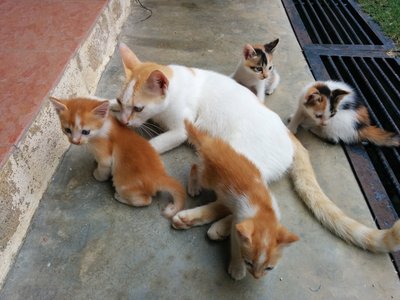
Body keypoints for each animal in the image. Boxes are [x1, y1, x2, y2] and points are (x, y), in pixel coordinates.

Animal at [50, 97, 186, 217]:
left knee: (145, 200)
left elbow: (103, 167)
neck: (103, 126)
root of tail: (159, 176)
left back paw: (120, 197)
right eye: (67, 130)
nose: (75, 141)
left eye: (85, 132)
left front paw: (97, 175)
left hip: (122, 184)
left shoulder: (105, 154)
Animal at [114, 42, 400, 253]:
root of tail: (289, 133)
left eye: (138, 107)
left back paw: (203, 221)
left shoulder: (181, 129)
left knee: (238, 202)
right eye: (122, 102)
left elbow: (154, 144)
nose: (126, 121)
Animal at [173, 120, 300, 280]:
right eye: (249, 263)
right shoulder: (239, 222)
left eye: (269, 268)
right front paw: (237, 268)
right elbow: (236, 245)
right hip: (207, 176)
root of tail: (210, 142)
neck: (263, 211)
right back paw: (194, 186)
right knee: (195, 166)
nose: (257, 277)